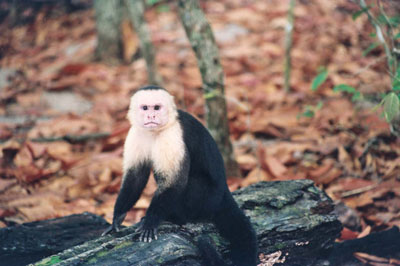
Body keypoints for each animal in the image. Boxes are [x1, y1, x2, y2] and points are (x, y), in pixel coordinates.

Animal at [103, 85, 258, 266]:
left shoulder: (173, 136)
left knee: (194, 183)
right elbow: (135, 177)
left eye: (157, 107)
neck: (156, 131)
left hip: (209, 199)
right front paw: (117, 218)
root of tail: (224, 192)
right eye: (145, 108)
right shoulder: (136, 133)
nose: (151, 116)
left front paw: (151, 220)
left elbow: (175, 182)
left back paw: (177, 217)